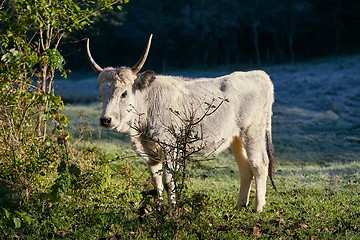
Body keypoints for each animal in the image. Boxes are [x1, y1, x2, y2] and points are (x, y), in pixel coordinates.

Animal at [85, 34, 276, 212]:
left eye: (124, 93)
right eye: (101, 94)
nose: (105, 120)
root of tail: (259, 74)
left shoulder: (169, 144)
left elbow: (169, 181)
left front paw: (172, 208)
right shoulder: (150, 149)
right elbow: (156, 180)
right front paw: (159, 207)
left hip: (253, 131)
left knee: (259, 164)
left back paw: (258, 207)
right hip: (236, 137)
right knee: (245, 168)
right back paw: (240, 205)